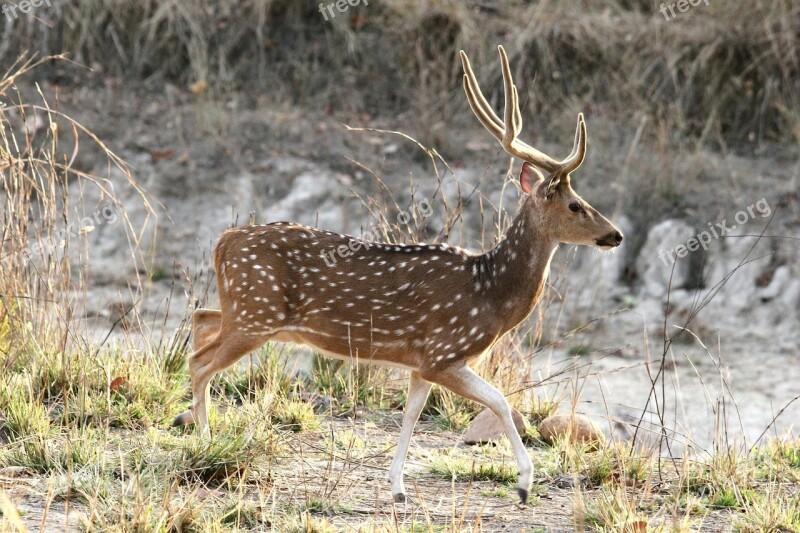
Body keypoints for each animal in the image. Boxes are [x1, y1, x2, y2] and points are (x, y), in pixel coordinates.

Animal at [177, 45, 624, 502]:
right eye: (575, 205)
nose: (615, 235)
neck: (490, 294)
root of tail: (223, 240)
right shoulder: (445, 351)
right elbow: (499, 400)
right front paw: (524, 483)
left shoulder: (421, 362)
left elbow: (412, 414)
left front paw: (397, 487)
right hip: (256, 315)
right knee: (200, 362)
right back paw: (206, 442)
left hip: (247, 311)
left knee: (201, 317)